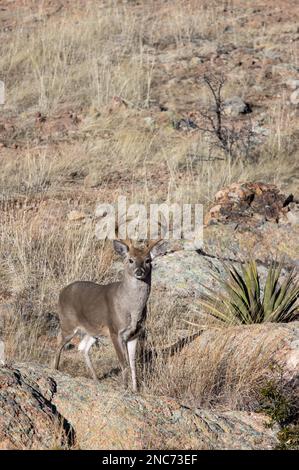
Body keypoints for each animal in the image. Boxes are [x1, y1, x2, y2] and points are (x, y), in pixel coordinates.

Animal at [53, 237, 168, 392]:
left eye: (148, 260)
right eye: (130, 260)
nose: (139, 271)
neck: (131, 309)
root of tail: (62, 292)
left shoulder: (135, 334)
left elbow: (133, 365)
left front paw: (135, 390)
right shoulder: (115, 330)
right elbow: (123, 363)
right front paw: (125, 388)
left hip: (92, 330)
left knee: (83, 347)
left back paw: (96, 380)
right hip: (68, 323)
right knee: (59, 343)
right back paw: (55, 370)